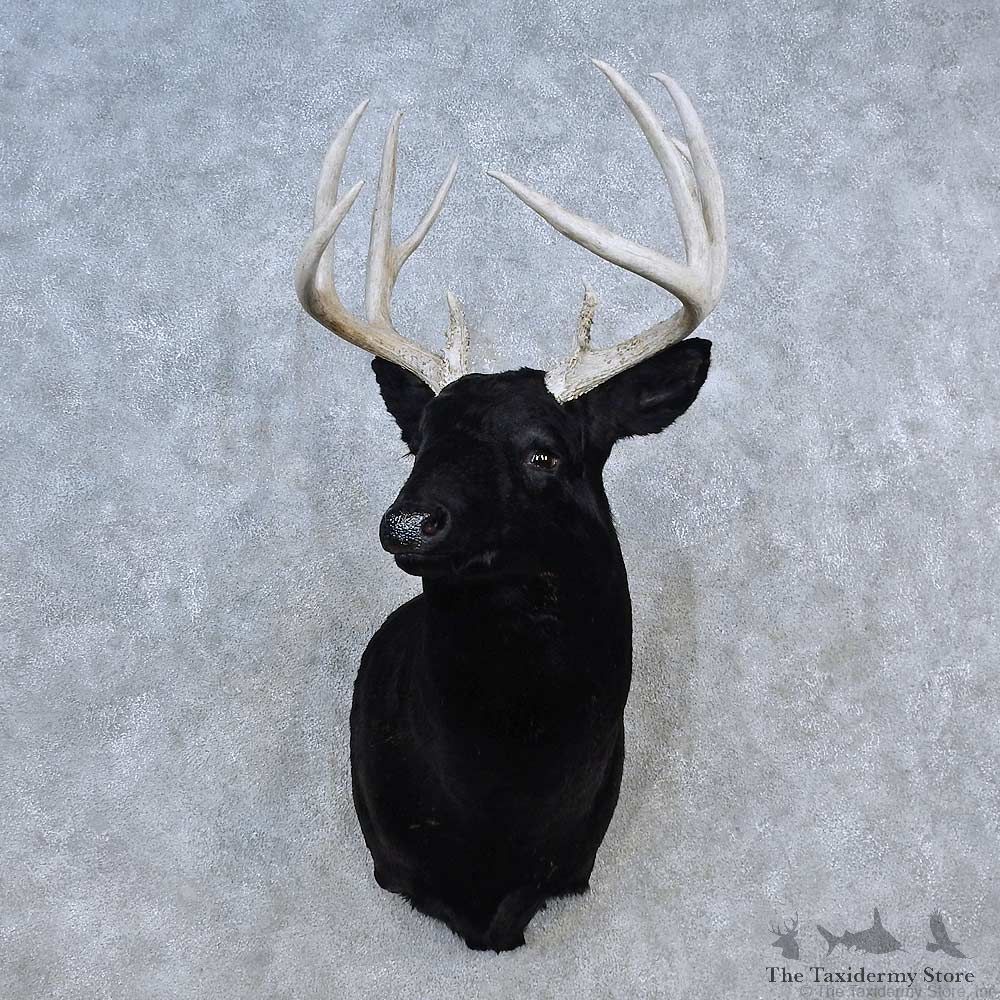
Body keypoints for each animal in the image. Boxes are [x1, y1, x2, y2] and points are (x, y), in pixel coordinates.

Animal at [294, 60, 727, 952]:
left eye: (543, 454)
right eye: (417, 441)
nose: (409, 522)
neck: (502, 812)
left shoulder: (570, 866)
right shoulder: (397, 862)